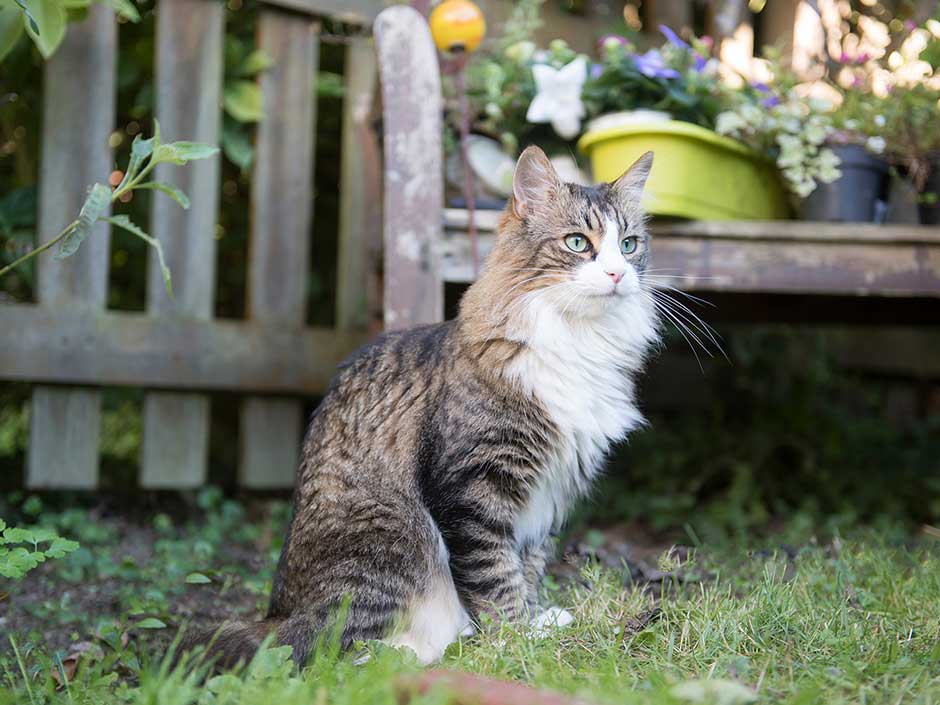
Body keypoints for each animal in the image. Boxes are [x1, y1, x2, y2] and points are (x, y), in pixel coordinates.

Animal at [185, 143, 660, 664]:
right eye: (578, 243)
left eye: (629, 245)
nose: (617, 274)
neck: (579, 340)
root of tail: (280, 615)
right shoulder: (473, 488)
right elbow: (495, 574)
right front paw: (517, 636)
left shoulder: (549, 494)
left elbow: (529, 565)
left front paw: (537, 619)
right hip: (393, 538)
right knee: (336, 649)